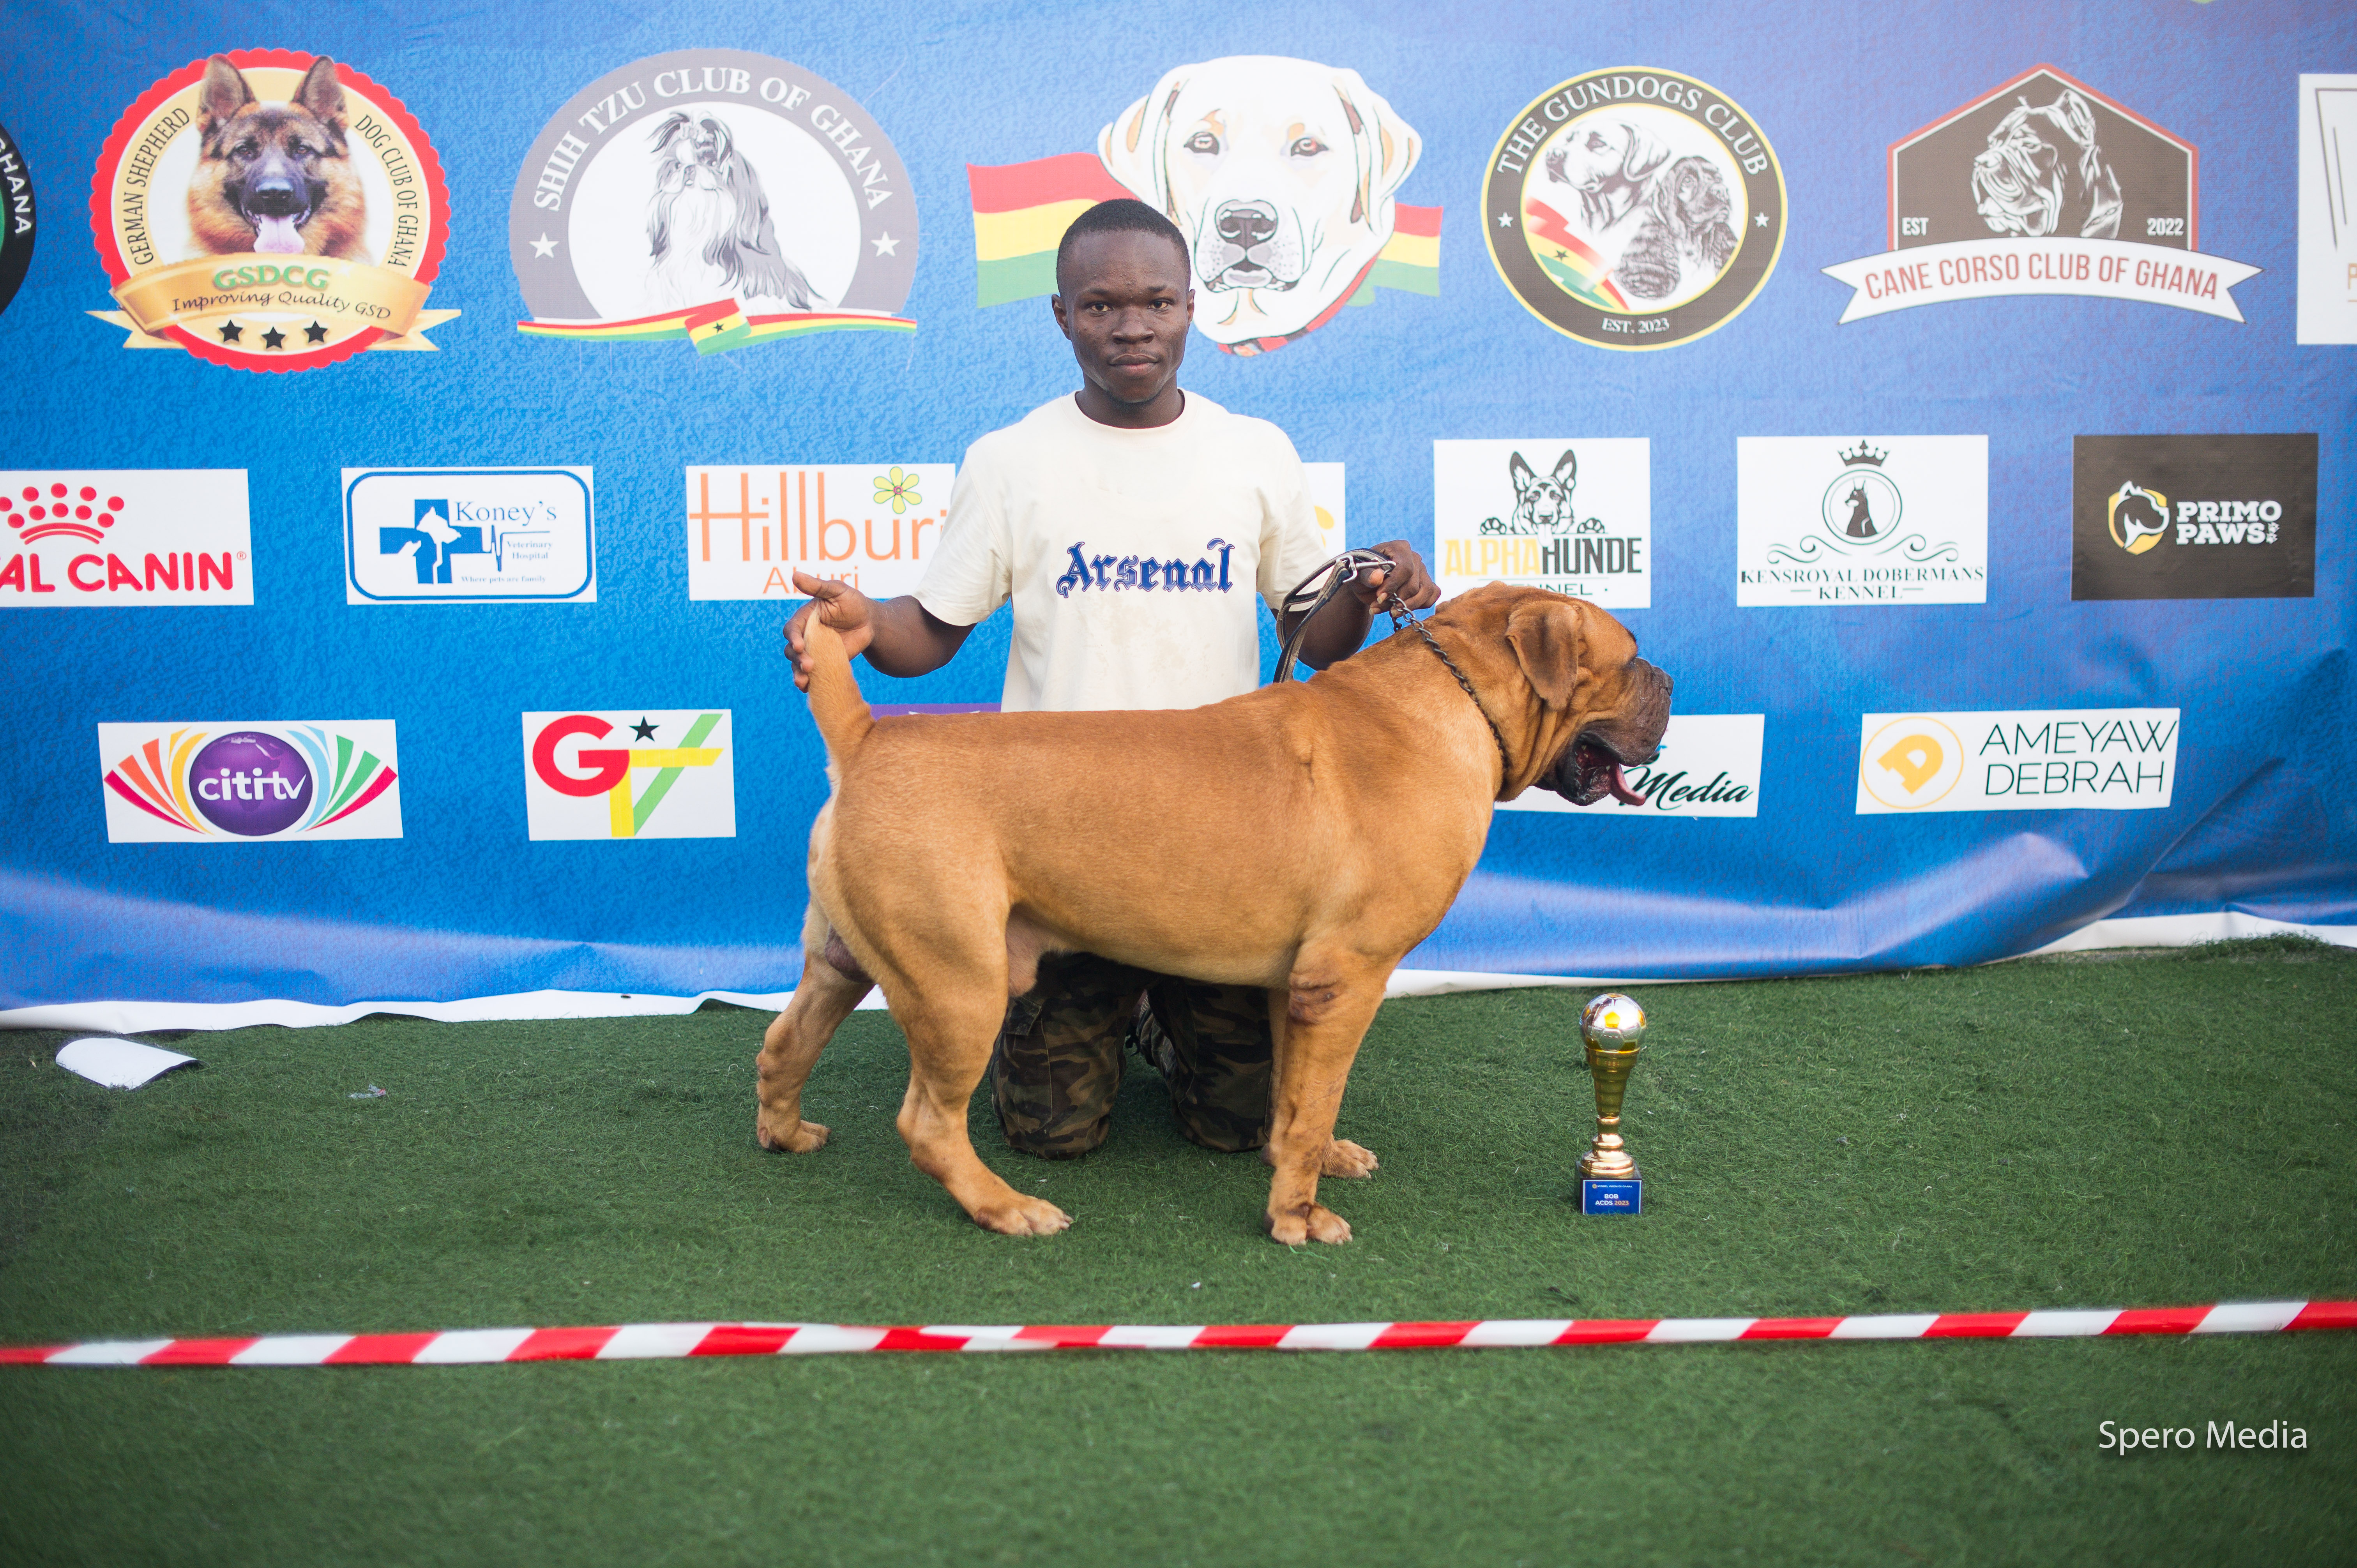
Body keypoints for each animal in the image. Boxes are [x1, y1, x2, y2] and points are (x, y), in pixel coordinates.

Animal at [755, 584, 1673, 1244]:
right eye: (1629, 657)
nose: (1667, 682)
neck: (1454, 700)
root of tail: (866, 737)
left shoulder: (1300, 987)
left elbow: (1297, 1099)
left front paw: (1313, 1160)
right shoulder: (1348, 979)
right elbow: (1316, 1097)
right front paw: (1296, 1216)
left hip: (847, 958)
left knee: (785, 1042)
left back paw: (785, 1133)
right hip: (960, 984)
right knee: (928, 1123)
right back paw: (1007, 1206)